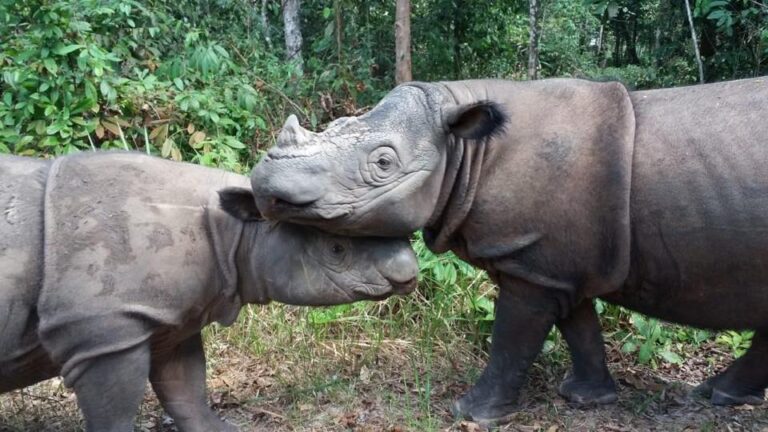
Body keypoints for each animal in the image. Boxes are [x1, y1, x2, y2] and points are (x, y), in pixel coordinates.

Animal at [0, 152, 418, 432]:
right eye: (336, 250)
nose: (409, 272)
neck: (236, 231)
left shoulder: (172, 316)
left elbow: (186, 390)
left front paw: (222, 430)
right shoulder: (103, 329)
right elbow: (114, 410)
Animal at [250, 77, 768, 424]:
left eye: (383, 163)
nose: (265, 185)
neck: (464, 147)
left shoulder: (532, 265)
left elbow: (512, 338)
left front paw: (471, 412)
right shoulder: (551, 261)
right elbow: (579, 326)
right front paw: (587, 398)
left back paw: (719, 397)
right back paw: (720, 396)